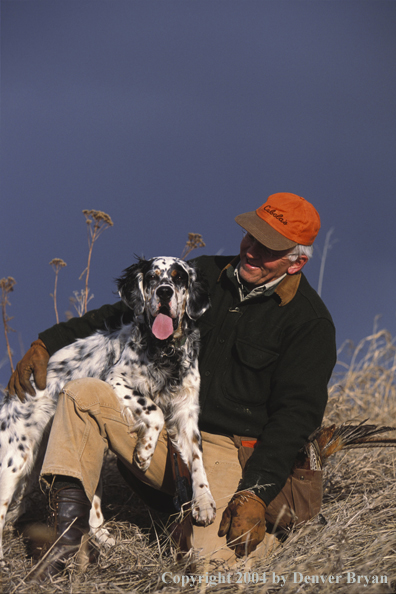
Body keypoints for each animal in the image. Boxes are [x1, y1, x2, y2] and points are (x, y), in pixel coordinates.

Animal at [0, 256, 217, 556]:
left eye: (179, 277)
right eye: (153, 276)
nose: (164, 292)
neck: (165, 352)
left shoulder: (186, 412)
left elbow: (197, 459)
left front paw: (204, 501)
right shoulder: (116, 379)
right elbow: (155, 411)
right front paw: (145, 452)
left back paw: (101, 537)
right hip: (14, 460)